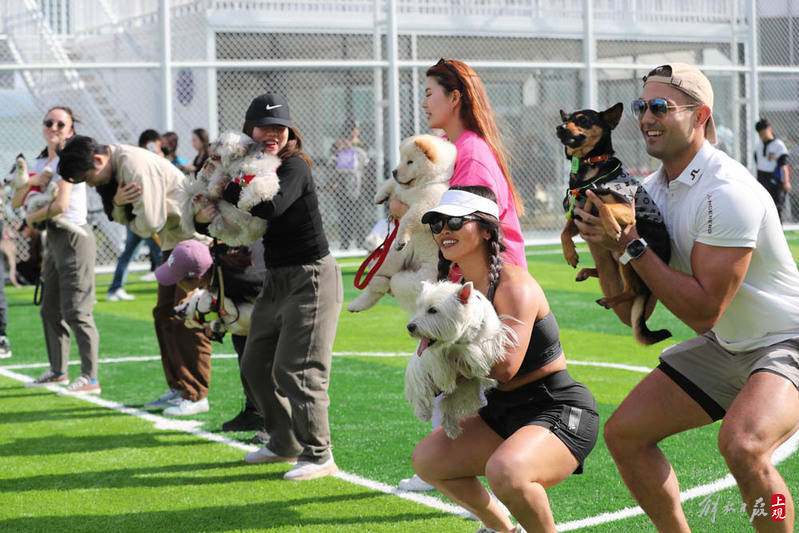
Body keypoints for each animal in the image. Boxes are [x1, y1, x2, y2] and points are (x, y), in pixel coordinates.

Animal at [347, 134, 455, 314]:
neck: (425, 183)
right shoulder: (403, 191)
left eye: (410, 162)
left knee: (388, 283)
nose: (394, 171)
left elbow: (408, 219)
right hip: (393, 258)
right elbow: (392, 184)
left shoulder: (425, 205)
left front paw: (401, 238)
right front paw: (379, 196)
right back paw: (355, 304)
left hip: (415, 279)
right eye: (401, 159)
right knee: (376, 278)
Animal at [404, 281, 517, 439]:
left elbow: (477, 352)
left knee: (447, 403)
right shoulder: (432, 355)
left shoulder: (490, 339)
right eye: (419, 307)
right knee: (423, 391)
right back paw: (426, 413)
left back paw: (451, 428)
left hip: (467, 387)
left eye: (433, 310)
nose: (410, 327)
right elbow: (442, 363)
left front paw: (479, 363)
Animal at [556, 102, 671, 345]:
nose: (559, 128)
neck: (587, 168)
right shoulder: (578, 216)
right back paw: (586, 272)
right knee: (608, 274)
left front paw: (611, 227)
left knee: (633, 290)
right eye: (566, 119)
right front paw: (570, 254)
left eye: (583, 120)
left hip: (627, 256)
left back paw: (609, 300)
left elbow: (604, 206)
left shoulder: (627, 209)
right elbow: (564, 231)